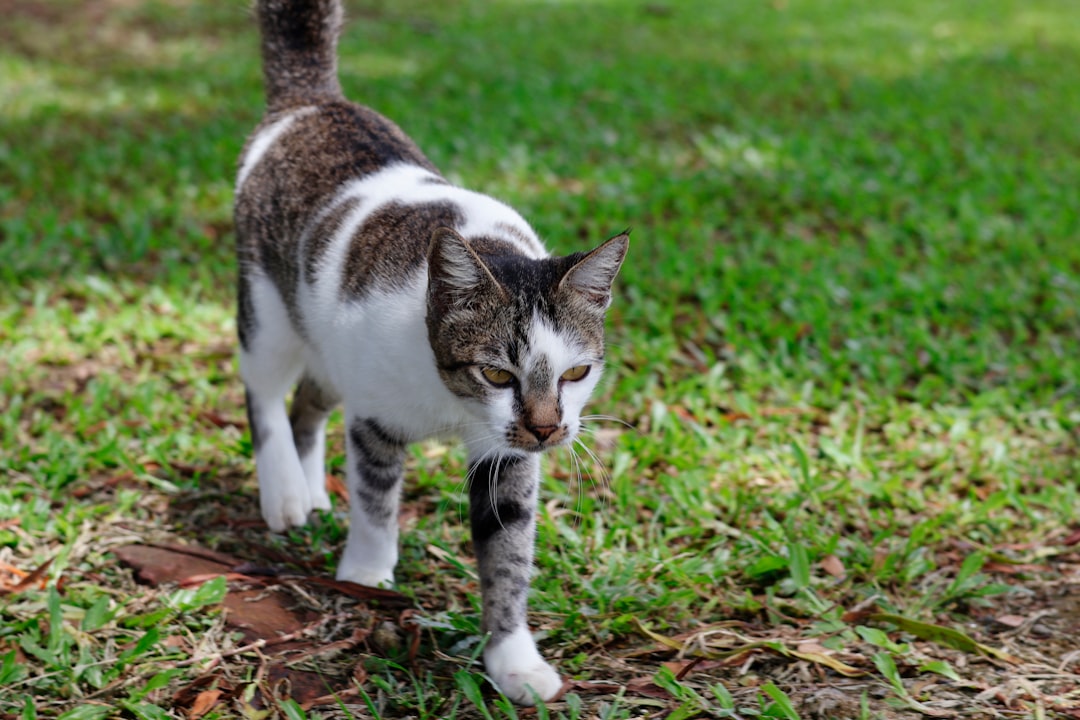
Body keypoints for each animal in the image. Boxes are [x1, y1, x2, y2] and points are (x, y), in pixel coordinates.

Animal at [232, 0, 630, 703]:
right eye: (496, 372)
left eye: (578, 372)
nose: (547, 429)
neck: (453, 403)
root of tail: (311, 100)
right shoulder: (373, 420)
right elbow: (375, 504)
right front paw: (366, 576)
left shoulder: (506, 457)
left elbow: (507, 553)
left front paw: (512, 658)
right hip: (268, 311)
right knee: (267, 393)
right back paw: (283, 489)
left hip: (328, 348)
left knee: (308, 404)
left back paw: (308, 488)